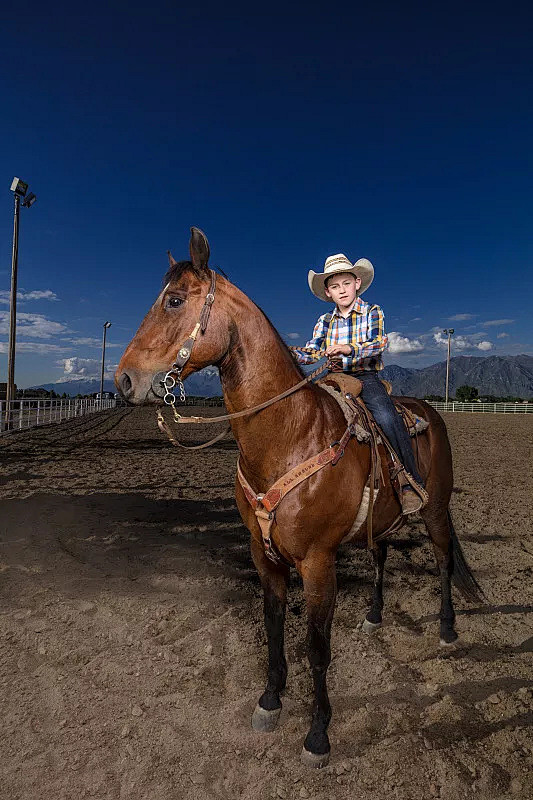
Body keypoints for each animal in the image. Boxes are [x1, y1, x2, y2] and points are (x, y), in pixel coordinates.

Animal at [114, 227, 480, 768]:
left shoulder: (318, 560)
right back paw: (374, 616)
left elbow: (317, 646)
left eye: (174, 300)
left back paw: (448, 630)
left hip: (435, 509)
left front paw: (318, 734)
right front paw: (270, 701)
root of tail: (429, 412)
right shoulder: (262, 554)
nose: (123, 379)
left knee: (441, 559)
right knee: (380, 554)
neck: (290, 434)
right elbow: (272, 626)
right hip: (381, 519)